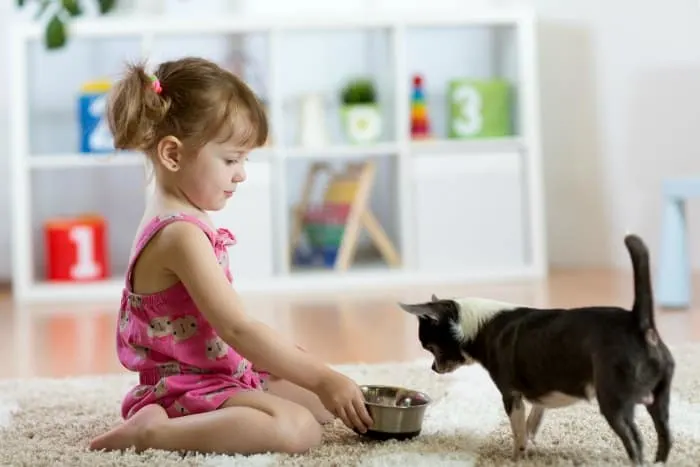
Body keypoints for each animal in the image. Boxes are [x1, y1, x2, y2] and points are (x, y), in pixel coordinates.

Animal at [402, 234, 676, 464]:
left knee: (635, 441)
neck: (478, 325)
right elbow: (532, 421)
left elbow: (518, 431)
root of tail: (639, 323)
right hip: (659, 400)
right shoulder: (538, 392)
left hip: (614, 403)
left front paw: (516, 458)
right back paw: (659, 462)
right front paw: (531, 445)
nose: (433, 368)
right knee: (665, 435)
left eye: (430, 347)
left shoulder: (511, 395)